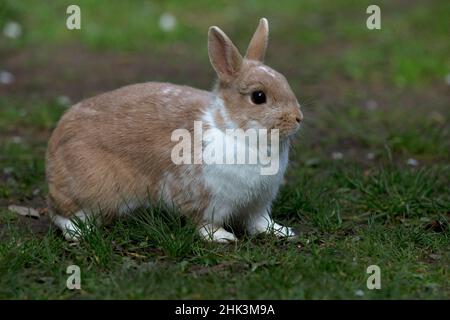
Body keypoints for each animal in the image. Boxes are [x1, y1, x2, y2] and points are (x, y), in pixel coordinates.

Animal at [45, 17, 302, 241]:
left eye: (285, 81)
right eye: (258, 97)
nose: (298, 118)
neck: (232, 129)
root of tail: (53, 150)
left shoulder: (258, 204)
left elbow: (259, 223)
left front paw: (283, 232)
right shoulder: (205, 199)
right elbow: (204, 224)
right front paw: (223, 237)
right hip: (91, 192)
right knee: (63, 215)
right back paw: (79, 233)